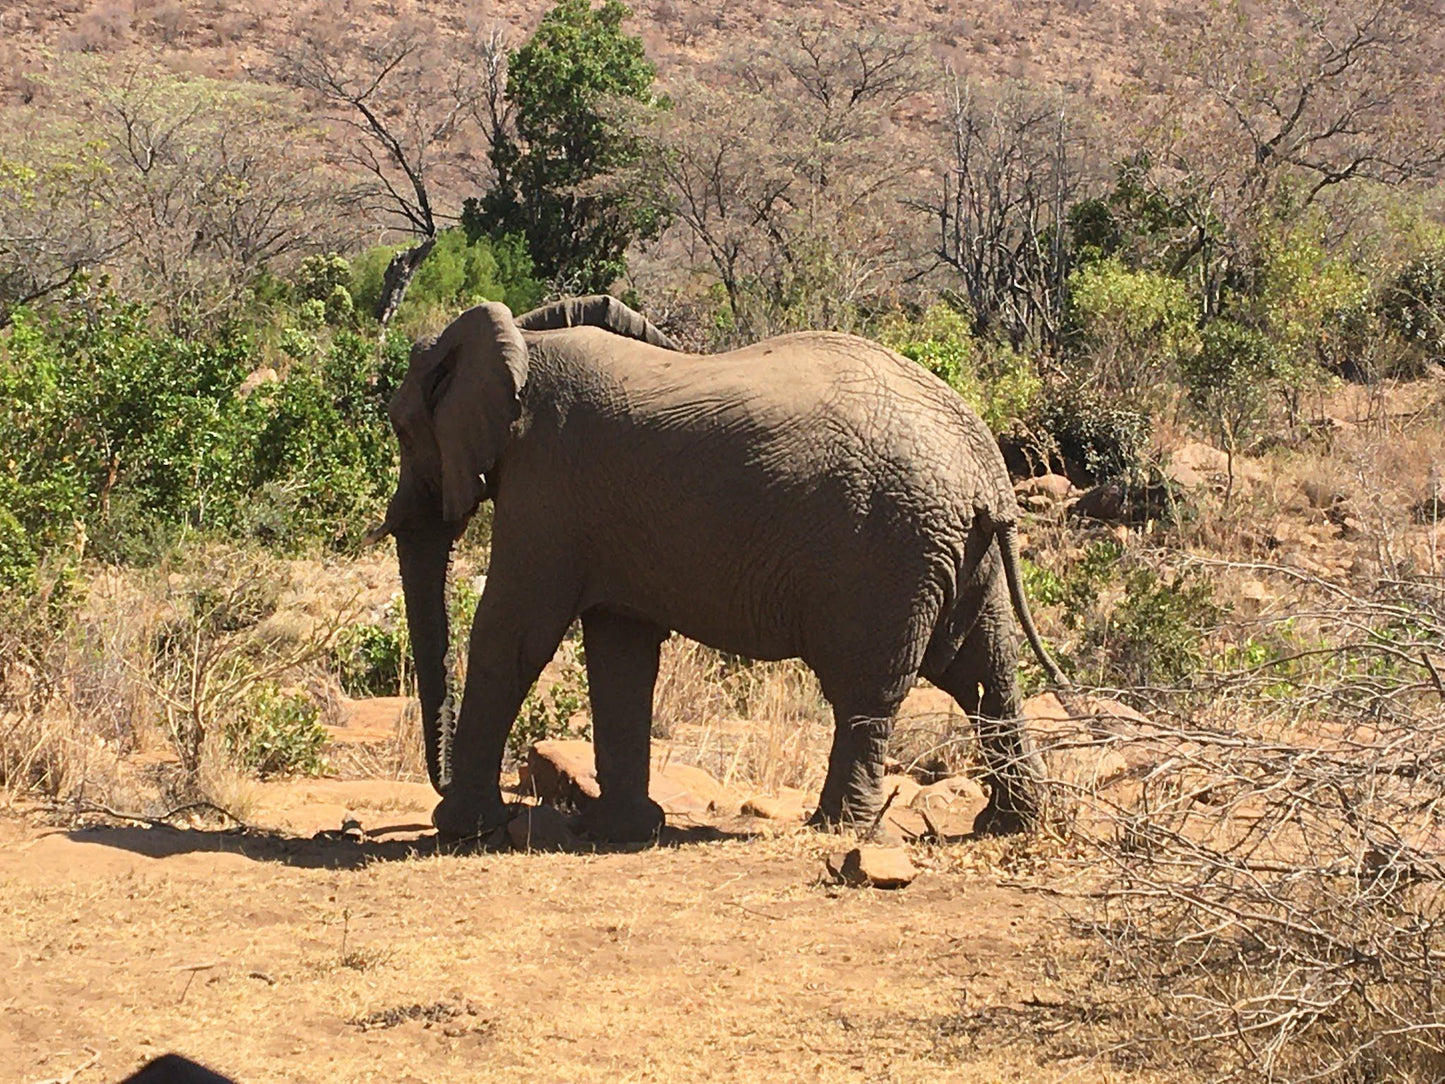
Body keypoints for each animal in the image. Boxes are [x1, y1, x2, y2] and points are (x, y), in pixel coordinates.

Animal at [369, 293, 1075, 844]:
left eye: (401, 429)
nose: (436, 784)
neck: (525, 340)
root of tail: (986, 467)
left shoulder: (549, 486)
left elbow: (513, 633)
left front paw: (462, 830)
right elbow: (621, 649)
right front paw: (622, 832)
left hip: (890, 550)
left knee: (871, 690)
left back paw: (837, 828)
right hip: (957, 551)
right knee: (986, 675)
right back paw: (1007, 825)